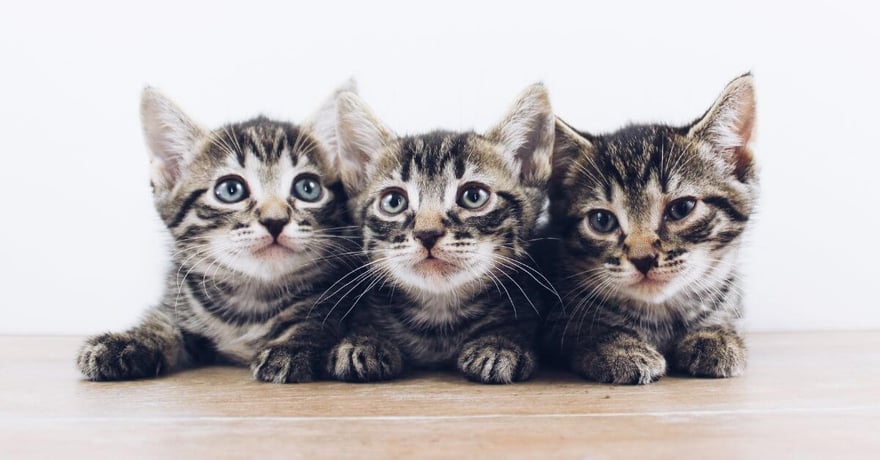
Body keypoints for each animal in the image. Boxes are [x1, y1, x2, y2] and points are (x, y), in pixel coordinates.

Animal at [76, 83, 358, 384]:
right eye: (231, 190)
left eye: (308, 188)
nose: (275, 220)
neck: (251, 300)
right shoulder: (179, 300)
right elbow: (161, 323)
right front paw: (127, 341)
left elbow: (316, 322)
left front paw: (291, 345)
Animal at [324, 85, 556, 384]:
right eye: (393, 202)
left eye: (473, 196)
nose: (427, 233)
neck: (439, 319)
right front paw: (363, 341)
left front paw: (500, 343)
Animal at [544, 74, 756, 384]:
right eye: (601, 220)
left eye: (682, 208)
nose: (642, 258)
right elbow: (582, 330)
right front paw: (618, 347)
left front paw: (716, 336)